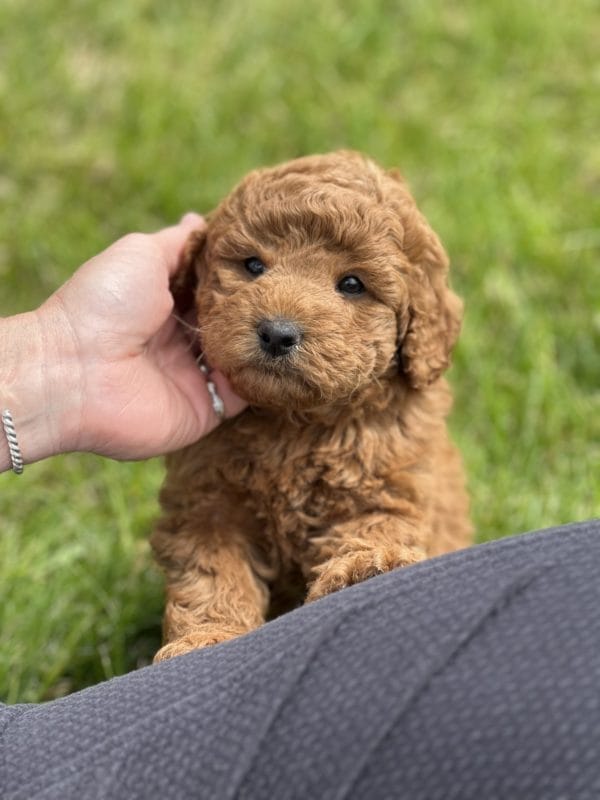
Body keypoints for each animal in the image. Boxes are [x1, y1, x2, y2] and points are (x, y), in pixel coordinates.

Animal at [152, 152, 472, 664]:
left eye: (352, 284)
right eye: (253, 265)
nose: (277, 332)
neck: (294, 423)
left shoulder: (389, 486)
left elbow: (375, 529)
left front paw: (365, 572)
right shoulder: (208, 507)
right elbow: (213, 577)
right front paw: (206, 642)